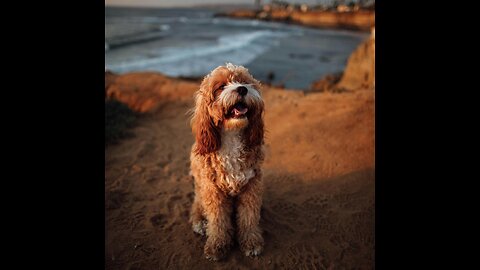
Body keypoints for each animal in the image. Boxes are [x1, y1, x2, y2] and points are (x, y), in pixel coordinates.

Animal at [189, 62, 266, 260]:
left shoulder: (251, 186)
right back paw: (200, 223)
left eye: (244, 82)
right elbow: (218, 220)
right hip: (200, 191)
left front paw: (251, 242)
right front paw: (217, 245)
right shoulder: (212, 190)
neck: (231, 137)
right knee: (196, 207)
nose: (242, 89)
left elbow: (248, 217)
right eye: (221, 87)